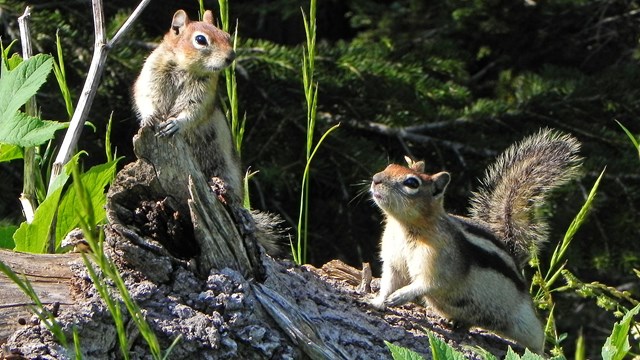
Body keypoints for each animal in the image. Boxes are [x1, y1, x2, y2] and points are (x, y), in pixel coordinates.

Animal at [133, 9, 242, 202]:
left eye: (227, 36)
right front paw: (149, 117)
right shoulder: (150, 77)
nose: (231, 56)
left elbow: (194, 112)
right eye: (200, 40)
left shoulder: (203, 96)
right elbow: (145, 98)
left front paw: (176, 124)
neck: (185, 68)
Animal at [368, 129, 584, 352]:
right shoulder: (394, 260)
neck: (403, 228)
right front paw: (377, 301)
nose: (376, 179)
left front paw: (401, 295)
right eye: (389, 167)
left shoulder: (438, 261)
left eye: (412, 183)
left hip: (525, 321)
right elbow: (389, 280)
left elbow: (428, 283)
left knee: (537, 340)